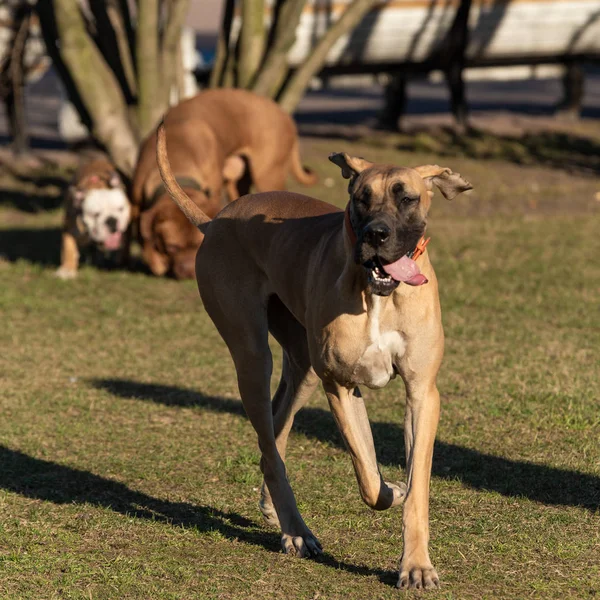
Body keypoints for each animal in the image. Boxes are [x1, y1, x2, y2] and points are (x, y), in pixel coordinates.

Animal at [132, 88, 316, 278]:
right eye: (172, 248)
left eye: (198, 244)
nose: (190, 272)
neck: (178, 152)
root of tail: (284, 114)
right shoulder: (136, 202)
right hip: (238, 185)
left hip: (268, 177)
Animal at [156, 119, 474, 588]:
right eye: (361, 198)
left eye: (407, 197)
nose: (376, 234)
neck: (377, 294)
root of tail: (214, 222)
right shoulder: (340, 385)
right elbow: (367, 474)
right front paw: (389, 491)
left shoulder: (422, 392)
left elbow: (415, 483)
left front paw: (416, 563)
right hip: (252, 354)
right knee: (268, 438)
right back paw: (296, 531)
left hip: (301, 364)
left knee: (276, 430)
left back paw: (274, 507)